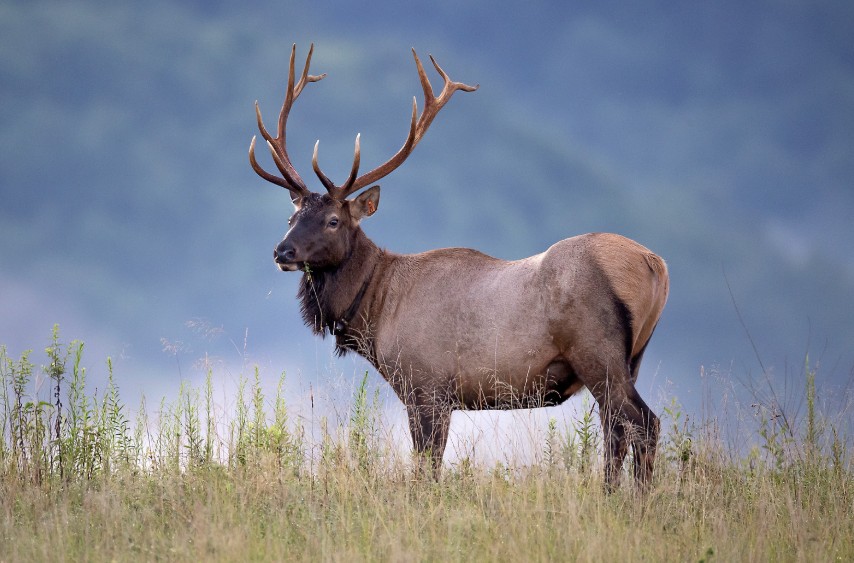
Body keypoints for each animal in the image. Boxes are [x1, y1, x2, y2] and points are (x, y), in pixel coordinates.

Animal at [249, 44, 669, 490]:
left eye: (333, 221)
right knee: (617, 429)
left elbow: (426, 467)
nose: (282, 251)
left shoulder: (427, 386)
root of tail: (655, 264)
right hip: (630, 359)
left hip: (597, 351)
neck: (376, 312)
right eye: (291, 217)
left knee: (643, 423)